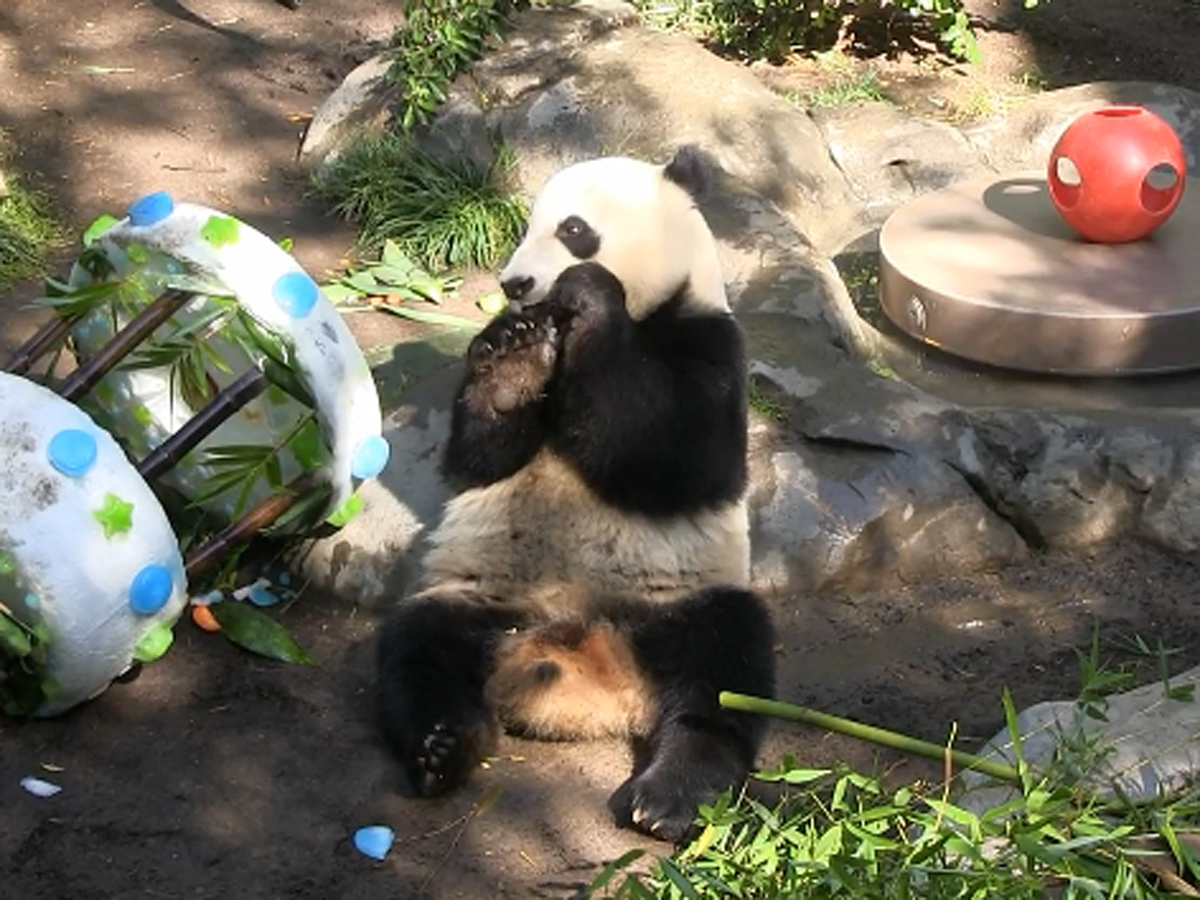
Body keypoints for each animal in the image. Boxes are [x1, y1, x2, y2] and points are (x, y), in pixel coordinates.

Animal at [374, 144, 777, 844]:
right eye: (526, 225)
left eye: (572, 229)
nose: (514, 284)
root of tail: (596, 684)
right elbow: (478, 460)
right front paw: (512, 359)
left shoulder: (709, 343)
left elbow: (677, 459)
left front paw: (589, 294)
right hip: (481, 595)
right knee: (419, 650)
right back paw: (445, 747)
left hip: (679, 598)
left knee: (727, 669)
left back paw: (670, 796)